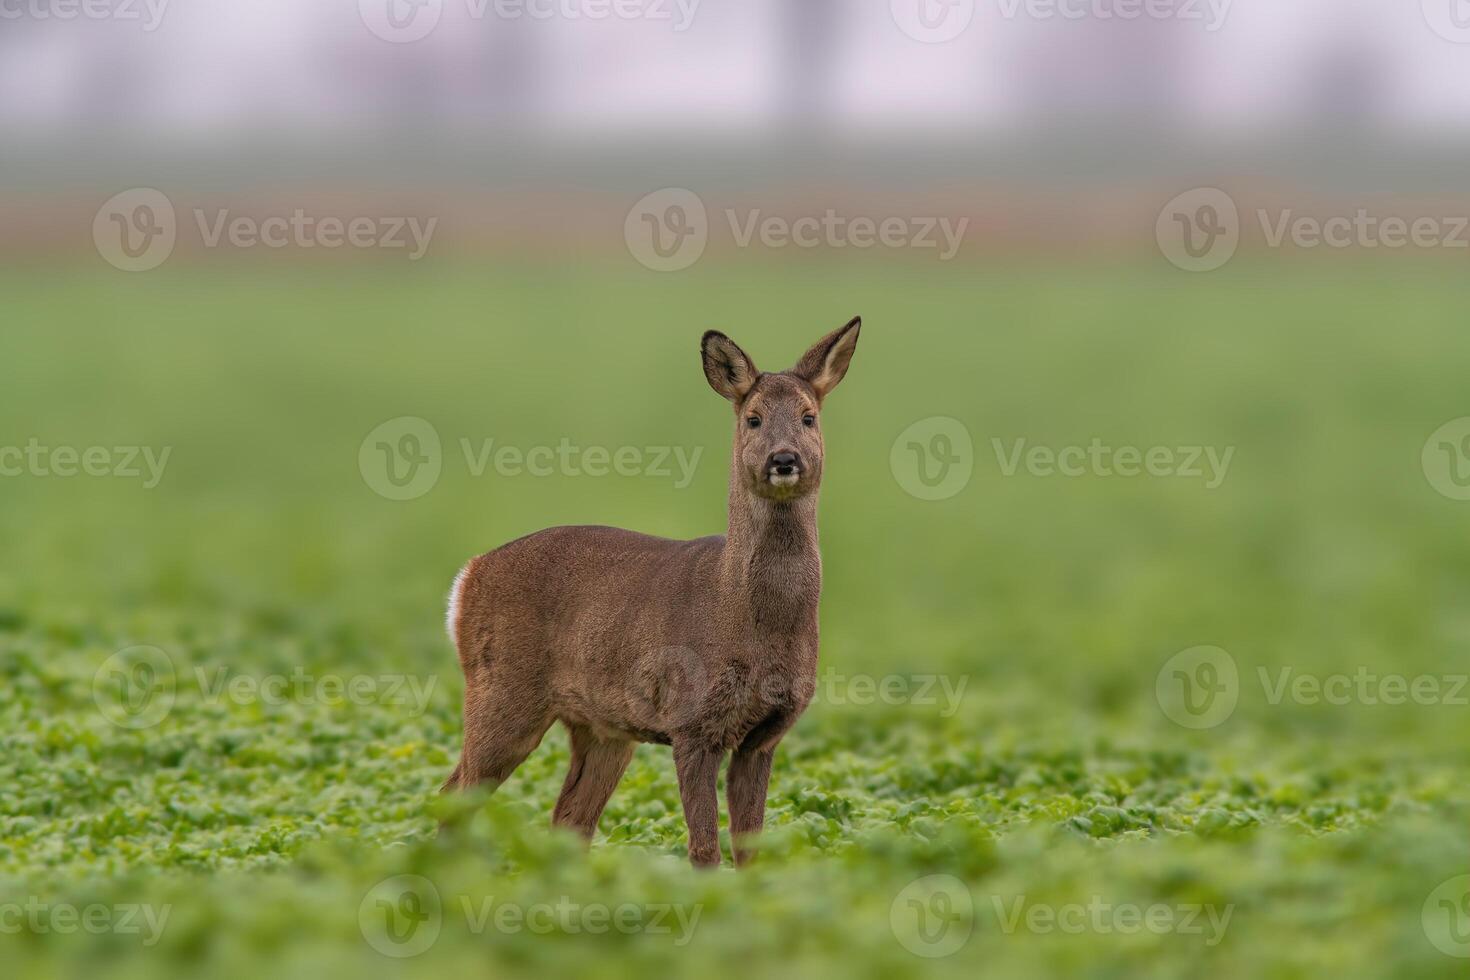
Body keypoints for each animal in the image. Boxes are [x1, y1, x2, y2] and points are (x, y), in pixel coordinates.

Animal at [446, 318, 858, 869]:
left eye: (809, 417)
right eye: (752, 419)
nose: (784, 458)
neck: (748, 619)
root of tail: (467, 576)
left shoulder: (764, 735)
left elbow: (748, 848)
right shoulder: (691, 721)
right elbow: (704, 848)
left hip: (602, 728)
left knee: (568, 818)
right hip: (501, 690)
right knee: (455, 793)